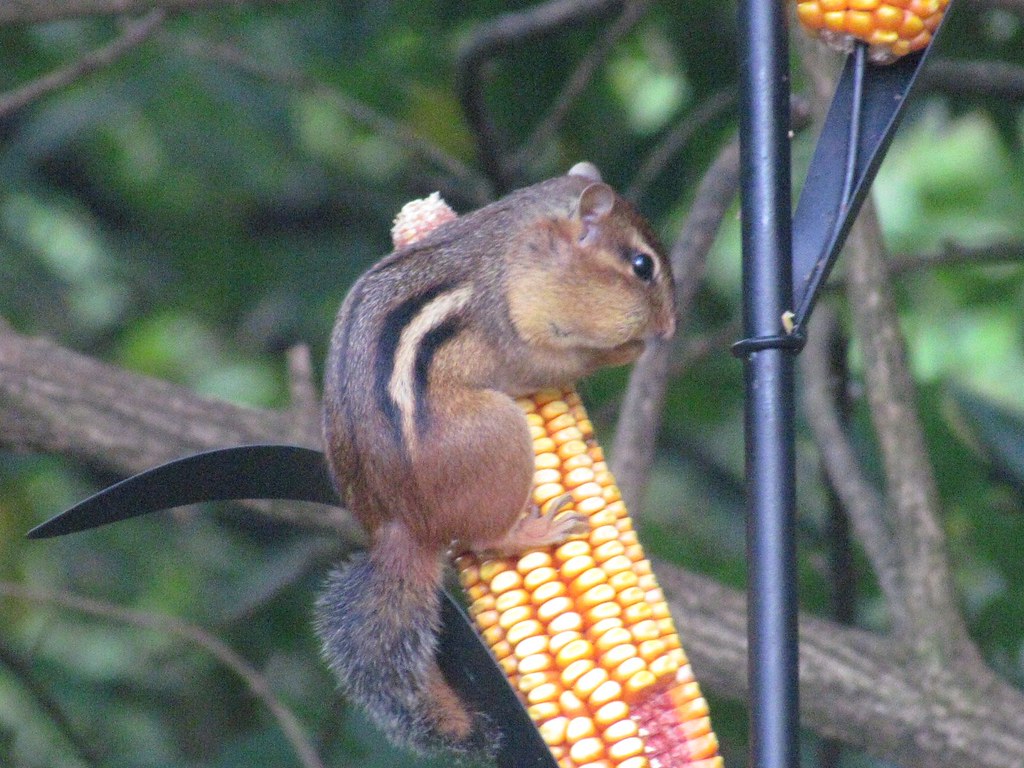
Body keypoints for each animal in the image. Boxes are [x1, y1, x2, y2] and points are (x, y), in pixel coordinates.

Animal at [314, 162, 676, 758]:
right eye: (642, 266)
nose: (669, 329)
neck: (520, 250)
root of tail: (403, 525)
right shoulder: (518, 329)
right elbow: (548, 364)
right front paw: (626, 349)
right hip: (502, 432)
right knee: (484, 542)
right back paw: (535, 532)